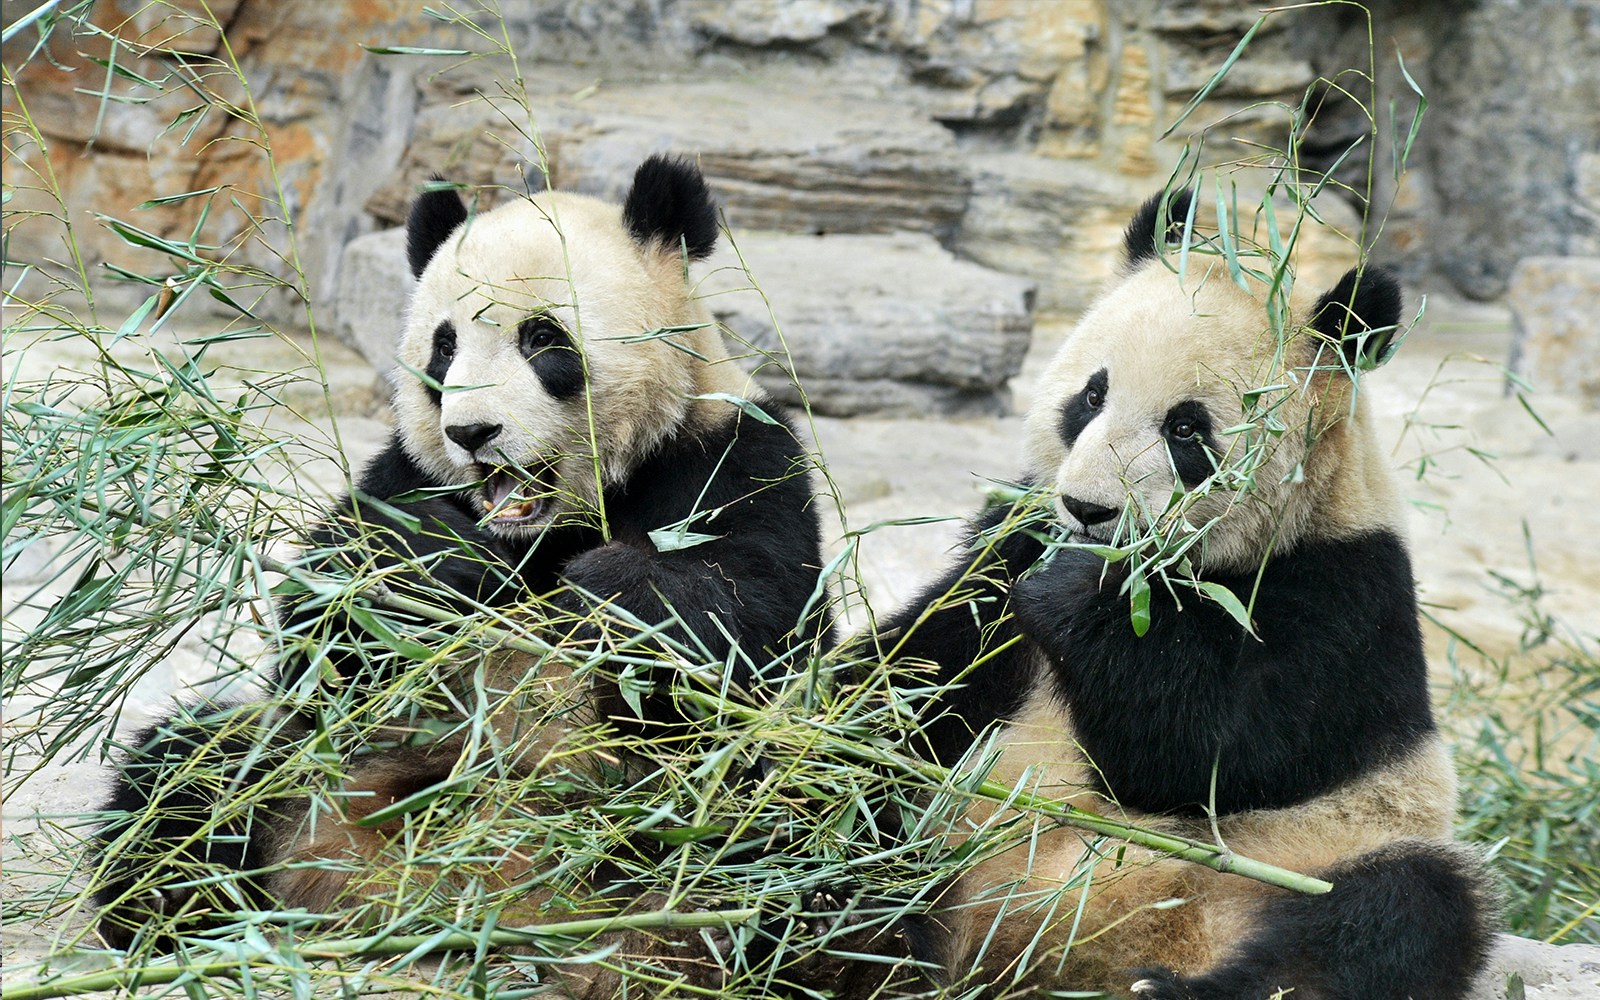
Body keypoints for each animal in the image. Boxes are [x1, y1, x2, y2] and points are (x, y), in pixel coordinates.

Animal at [88, 154, 835, 986]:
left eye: (543, 338)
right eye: (443, 349)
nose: (473, 431)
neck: (549, 529)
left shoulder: (734, 452)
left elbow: (754, 614)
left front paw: (611, 594)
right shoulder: (403, 475)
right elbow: (329, 623)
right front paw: (442, 567)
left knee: (780, 816)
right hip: (317, 770)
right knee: (194, 774)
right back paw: (173, 907)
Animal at [868, 190, 1499, 999]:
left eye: (1188, 430)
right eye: (1091, 395)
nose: (1088, 509)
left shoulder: (1348, 590)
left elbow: (1217, 749)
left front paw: (1080, 593)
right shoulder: (1008, 544)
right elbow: (920, 668)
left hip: (1325, 853)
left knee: (1393, 915)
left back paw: (1171, 987)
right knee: (876, 821)